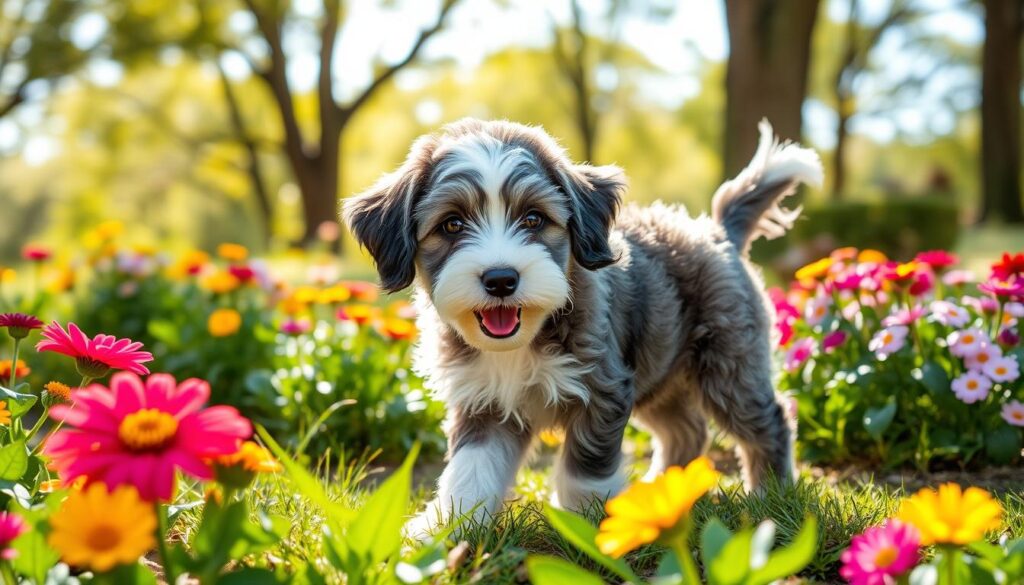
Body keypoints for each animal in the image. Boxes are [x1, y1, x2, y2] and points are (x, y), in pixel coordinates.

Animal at [344, 117, 823, 532]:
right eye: (452, 224)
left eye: (533, 219)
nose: (500, 279)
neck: (524, 341)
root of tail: (717, 231)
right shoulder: (483, 400)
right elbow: (470, 469)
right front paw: (443, 530)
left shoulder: (602, 388)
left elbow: (585, 469)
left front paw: (588, 526)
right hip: (658, 369)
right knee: (686, 430)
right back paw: (664, 492)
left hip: (729, 363)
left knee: (768, 419)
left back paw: (770, 494)